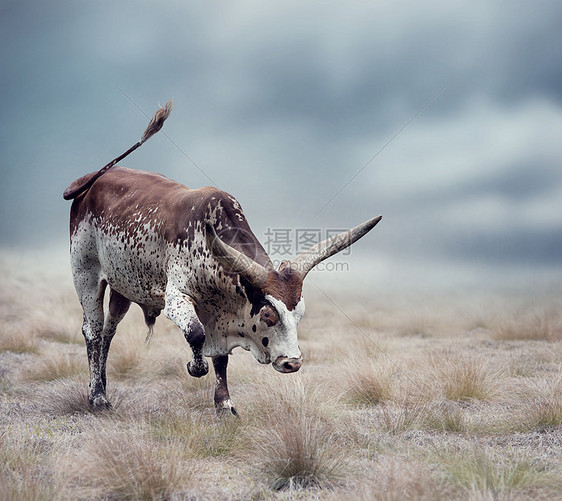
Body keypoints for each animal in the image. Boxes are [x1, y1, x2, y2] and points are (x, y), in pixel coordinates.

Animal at [64, 101, 380, 414]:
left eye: (299, 314)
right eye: (268, 314)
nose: (293, 362)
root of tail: (91, 182)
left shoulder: (217, 312)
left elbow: (220, 357)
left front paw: (224, 404)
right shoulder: (177, 298)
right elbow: (196, 335)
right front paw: (196, 367)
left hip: (122, 287)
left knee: (108, 332)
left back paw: (101, 385)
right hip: (86, 274)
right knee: (93, 330)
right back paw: (98, 397)